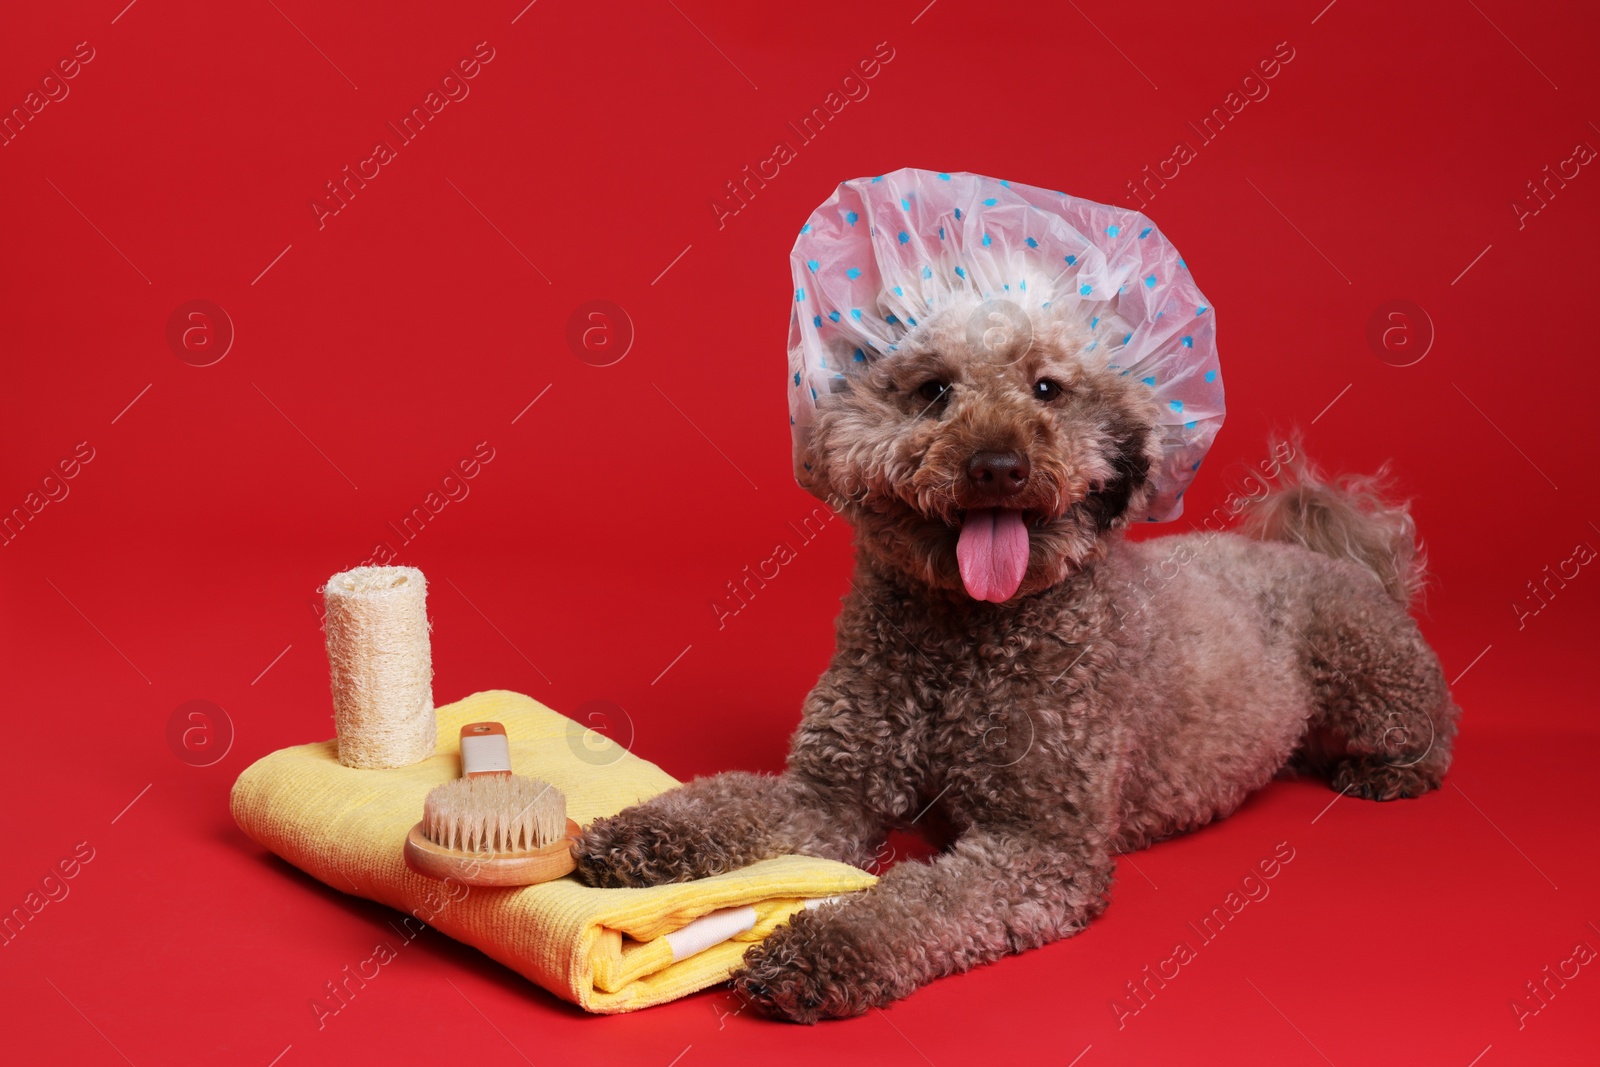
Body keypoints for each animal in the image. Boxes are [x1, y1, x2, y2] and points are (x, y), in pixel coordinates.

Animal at [576, 294, 1465, 1023]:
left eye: (1048, 389)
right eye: (934, 389)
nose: (998, 464)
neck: (963, 637)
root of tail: (1339, 557)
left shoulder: (1038, 845)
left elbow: (919, 902)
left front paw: (825, 947)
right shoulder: (832, 791)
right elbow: (730, 803)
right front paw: (640, 836)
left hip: (1368, 670)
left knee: (1433, 725)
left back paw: (1392, 772)